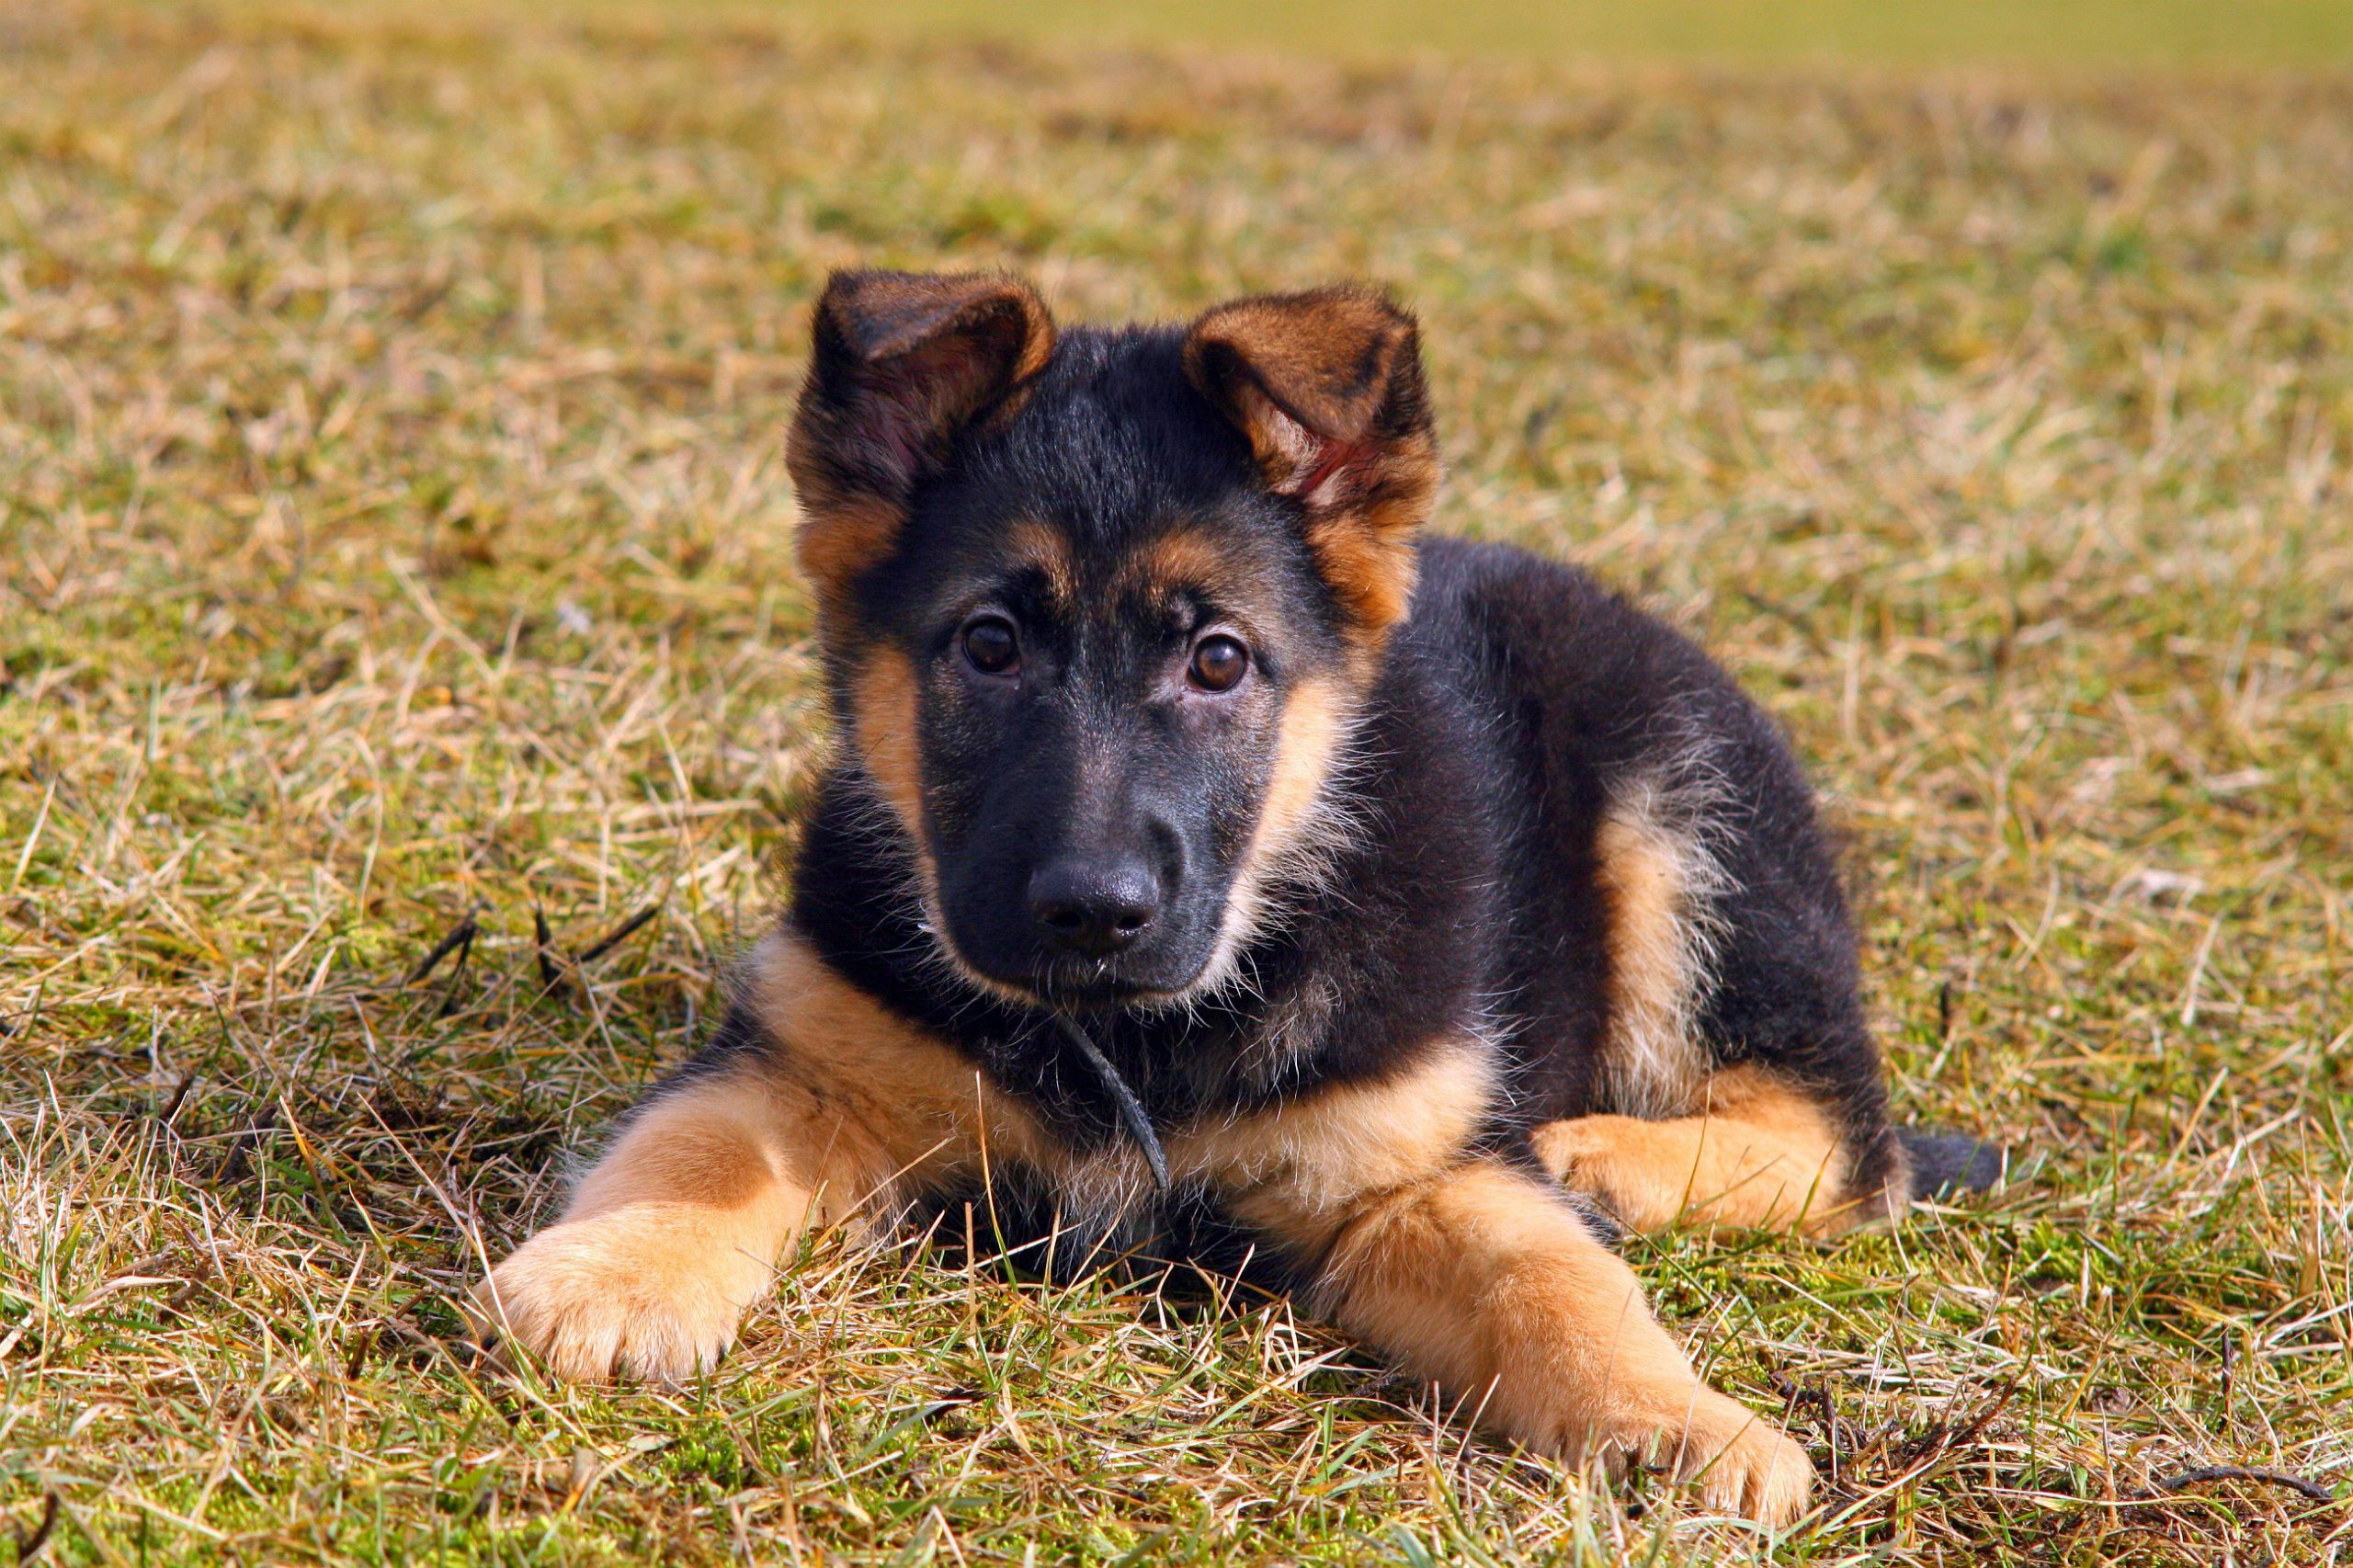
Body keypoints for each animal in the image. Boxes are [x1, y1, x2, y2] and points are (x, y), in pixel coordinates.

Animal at [468, 271, 1995, 1525]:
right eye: (989, 644)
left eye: (1218, 661)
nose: (1093, 911)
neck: (1129, 1037)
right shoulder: (814, 1063)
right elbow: (699, 1150)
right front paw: (609, 1275)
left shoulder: (1415, 1169)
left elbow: (1558, 1285)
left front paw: (1682, 1422)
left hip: (1686, 818)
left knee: (1852, 1144)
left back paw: (1607, 1155)